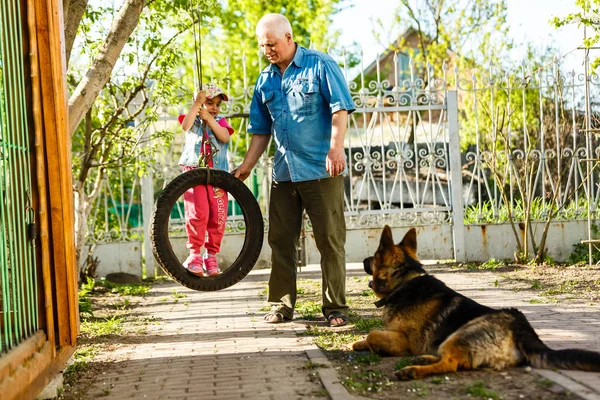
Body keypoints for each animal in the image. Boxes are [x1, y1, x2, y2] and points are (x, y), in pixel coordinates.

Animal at [352, 227, 600, 380]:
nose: (363, 260)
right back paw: (424, 359)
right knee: (457, 361)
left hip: (461, 333)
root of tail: (521, 326)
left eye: (373, 258)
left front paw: (373, 346)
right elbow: (364, 338)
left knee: (451, 364)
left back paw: (413, 370)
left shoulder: (407, 341)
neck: (404, 282)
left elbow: (373, 334)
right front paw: (360, 344)